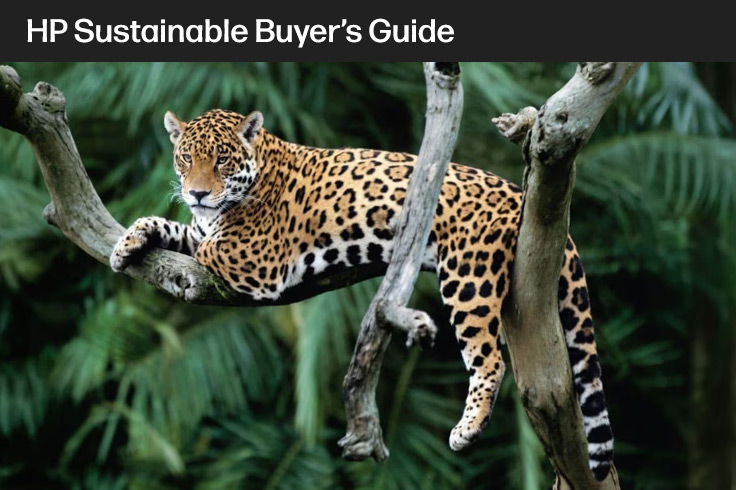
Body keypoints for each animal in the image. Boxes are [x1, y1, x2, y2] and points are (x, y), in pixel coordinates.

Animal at [110, 108, 614, 481]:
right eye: (185, 158)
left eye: (222, 161)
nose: (196, 193)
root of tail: (517, 193)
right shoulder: (205, 228)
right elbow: (174, 227)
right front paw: (127, 243)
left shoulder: (256, 258)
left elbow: (206, 244)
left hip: (467, 277)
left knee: (489, 358)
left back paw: (467, 429)